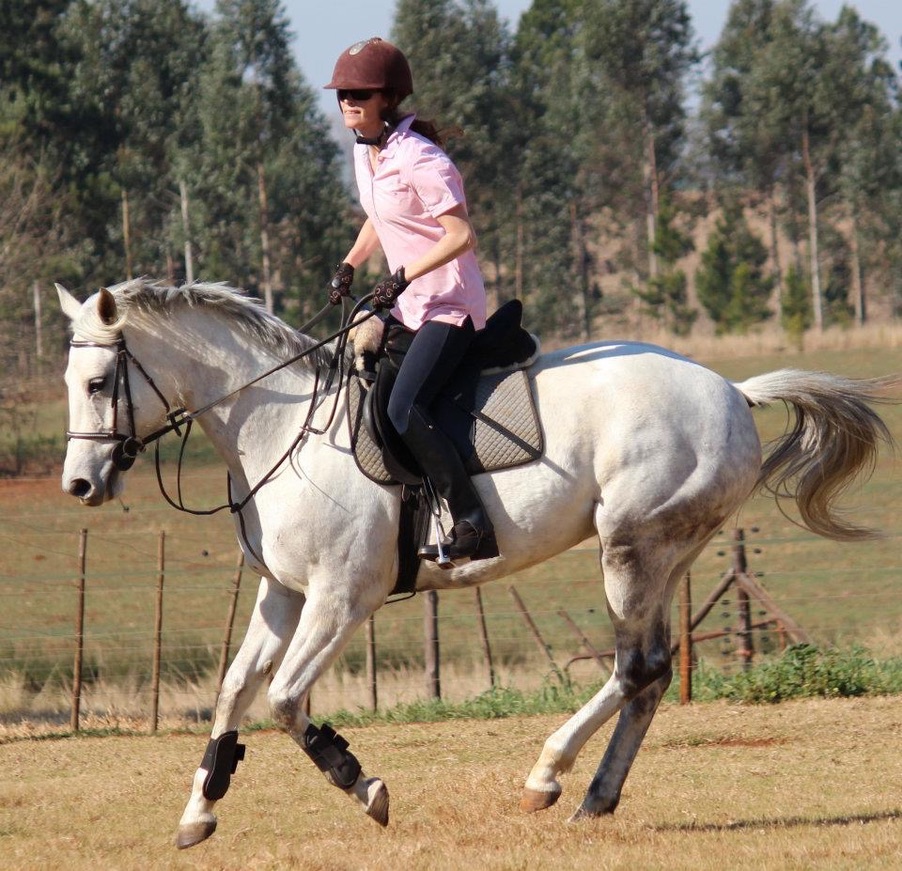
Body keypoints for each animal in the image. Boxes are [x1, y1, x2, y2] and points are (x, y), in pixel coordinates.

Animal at [56, 282, 896, 852]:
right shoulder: (284, 594)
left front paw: (361, 781)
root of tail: (730, 389)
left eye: (98, 384)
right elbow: (234, 691)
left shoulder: (340, 598)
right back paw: (596, 795)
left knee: (634, 666)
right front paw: (200, 808)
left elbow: (288, 699)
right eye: (69, 384)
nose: (80, 486)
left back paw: (547, 775)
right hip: (664, 552)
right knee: (652, 672)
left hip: (630, 546)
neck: (282, 427)